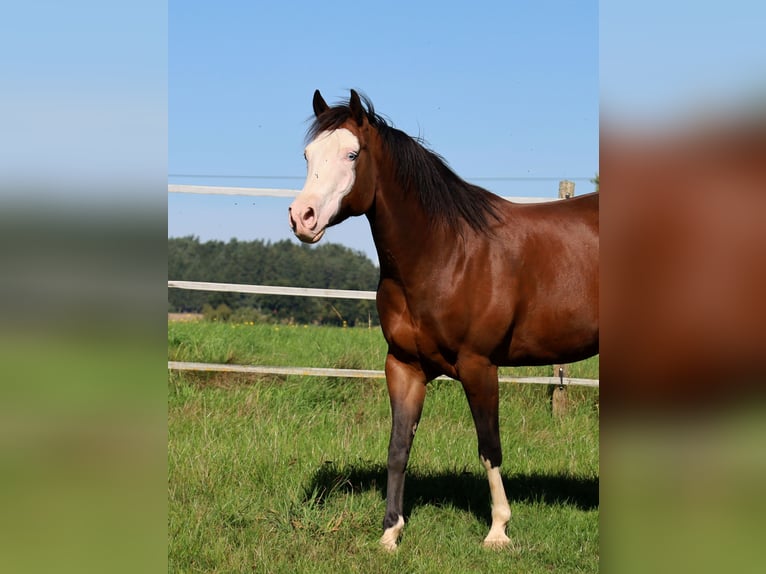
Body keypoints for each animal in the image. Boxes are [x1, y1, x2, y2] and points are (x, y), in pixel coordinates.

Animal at [288, 90, 599, 550]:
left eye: (352, 154)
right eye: (308, 155)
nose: (302, 217)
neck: (446, 253)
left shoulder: (479, 366)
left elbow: (489, 446)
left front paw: (498, 531)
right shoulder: (404, 366)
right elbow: (398, 447)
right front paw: (390, 533)